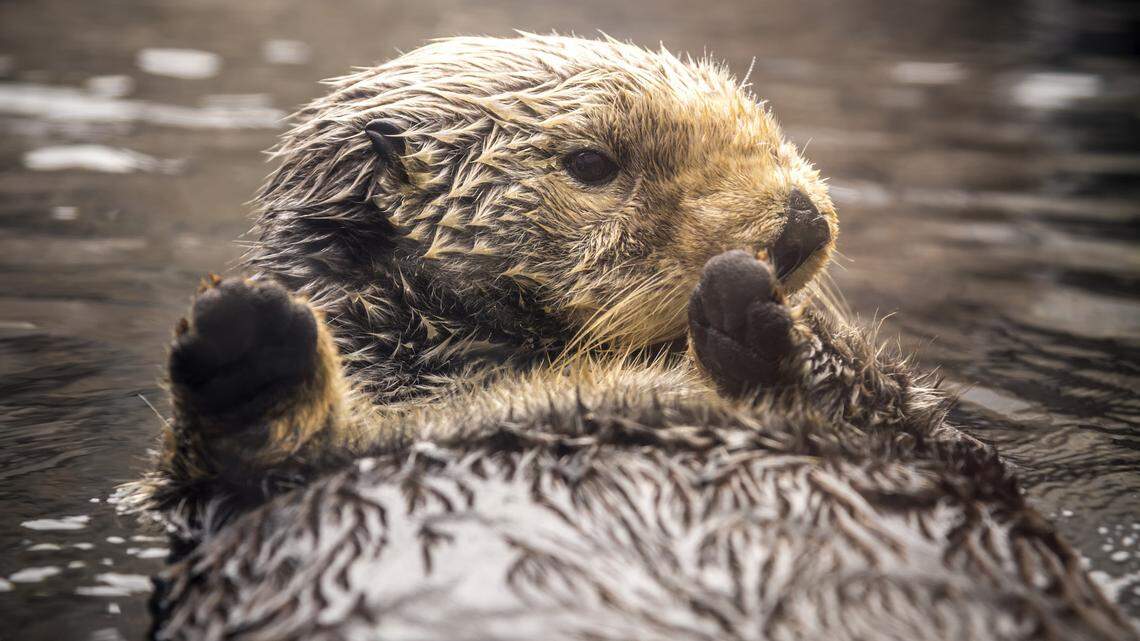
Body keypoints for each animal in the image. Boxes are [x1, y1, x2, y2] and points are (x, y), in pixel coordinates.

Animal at [121, 35, 1134, 640]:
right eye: (592, 163)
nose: (800, 221)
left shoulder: (935, 444)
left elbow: (935, 429)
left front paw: (760, 313)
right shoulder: (195, 501)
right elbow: (198, 482)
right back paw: (249, 346)